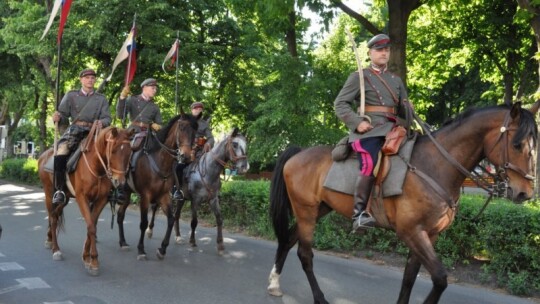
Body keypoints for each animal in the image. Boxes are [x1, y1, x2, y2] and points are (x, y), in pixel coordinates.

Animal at [38, 126, 134, 276]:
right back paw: (56, 249)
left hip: (65, 198)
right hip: (49, 194)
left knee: (56, 215)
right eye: (113, 151)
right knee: (53, 218)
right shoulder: (82, 198)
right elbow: (91, 227)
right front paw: (94, 261)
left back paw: (49, 239)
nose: (120, 182)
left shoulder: (101, 200)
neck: (97, 167)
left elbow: (92, 225)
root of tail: (43, 156)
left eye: (130, 152)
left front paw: (87, 257)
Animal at [115, 113, 198, 260]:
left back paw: (123, 242)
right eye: (182, 127)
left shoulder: (164, 196)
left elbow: (171, 220)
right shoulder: (145, 196)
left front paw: (162, 249)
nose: (186, 156)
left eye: (195, 132)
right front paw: (141, 250)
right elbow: (143, 223)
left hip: (128, 193)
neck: (161, 160)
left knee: (120, 215)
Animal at [268, 102, 536, 304]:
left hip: (318, 209)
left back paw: (274, 284)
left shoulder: (428, 234)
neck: (435, 165)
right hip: (306, 211)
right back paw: (319, 297)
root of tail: (298, 153)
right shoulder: (411, 232)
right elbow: (440, 278)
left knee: (288, 240)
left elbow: (409, 276)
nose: (526, 193)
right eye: (517, 144)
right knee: (304, 254)